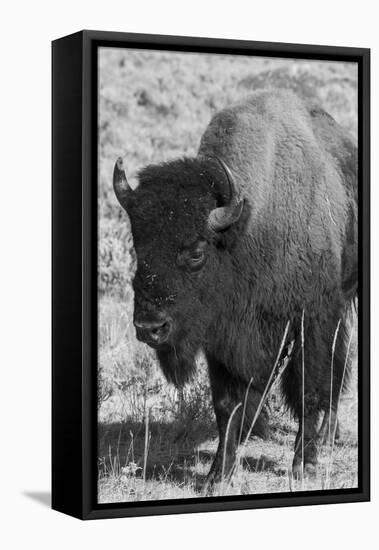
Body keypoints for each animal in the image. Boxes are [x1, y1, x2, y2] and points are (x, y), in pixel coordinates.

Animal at [113, 89, 360, 484]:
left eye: (196, 252)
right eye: (138, 246)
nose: (149, 327)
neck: (248, 227)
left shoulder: (311, 320)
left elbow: (307, 388)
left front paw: (303, 465)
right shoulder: (221, 333)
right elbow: (227, 403)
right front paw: (218, 474)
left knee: (338, 365)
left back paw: (325, 438)